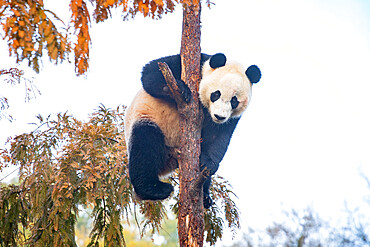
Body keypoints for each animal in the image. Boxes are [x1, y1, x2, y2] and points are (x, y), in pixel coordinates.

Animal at [124, 52, 260, 208]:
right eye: (216, 94)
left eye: (234, 101)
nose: (219, 116)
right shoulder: (189, 64)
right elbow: (150, 73)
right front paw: (181, 89)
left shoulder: (230, 119)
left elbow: (218, 138)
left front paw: (208, 163)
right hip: (148, 119)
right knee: (145, 144)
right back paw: (153, 189)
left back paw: (205, 196)